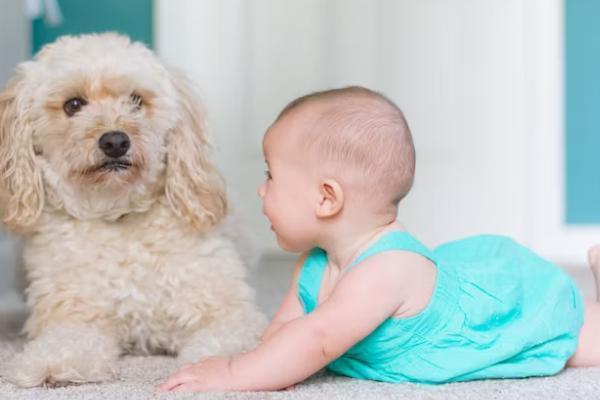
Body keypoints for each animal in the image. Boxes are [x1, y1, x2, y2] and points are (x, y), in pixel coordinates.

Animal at [0, 34, 268, 388]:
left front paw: (215, 367)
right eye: (73, 104)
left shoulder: (229, 312)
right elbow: (67, 341)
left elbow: (225, 340)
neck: (119, 216)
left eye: (137, 100)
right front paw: (53, 363)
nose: (115, 141)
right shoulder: (75, 316)